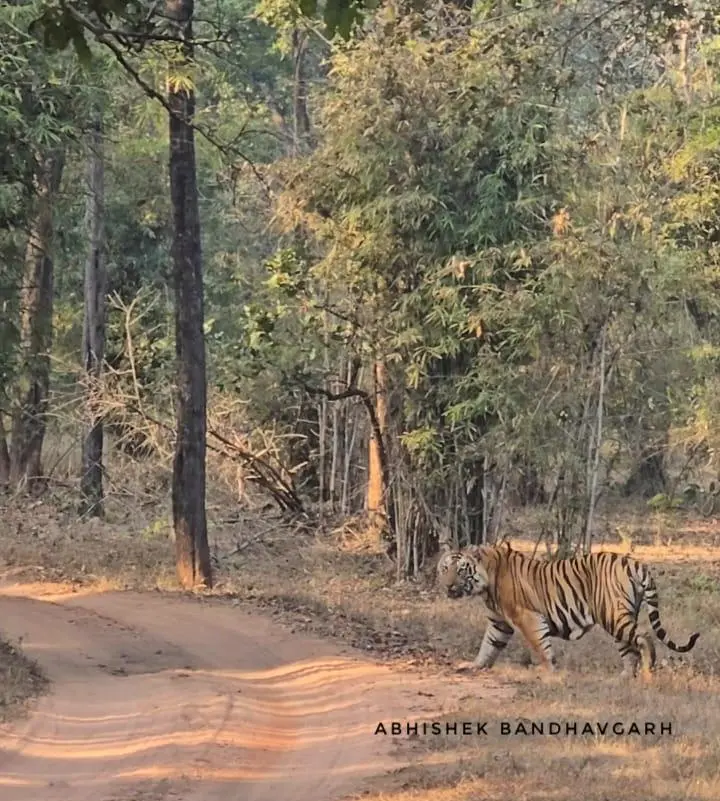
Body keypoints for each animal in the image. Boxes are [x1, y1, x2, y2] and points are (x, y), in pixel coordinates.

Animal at [436, 544, 700, 676]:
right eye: (444, 569)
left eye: (461, 570)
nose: (447, 585)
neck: (486, 582)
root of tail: (634, 562)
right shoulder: (498, 622)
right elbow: (488, 646)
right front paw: (475, 666)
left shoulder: (527, 617)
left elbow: (540, 647)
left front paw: (548, 673)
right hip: (619, 617)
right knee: (630, 649)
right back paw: (625, 678)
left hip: (612, 615)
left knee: (644, 637)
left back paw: (646, 671)